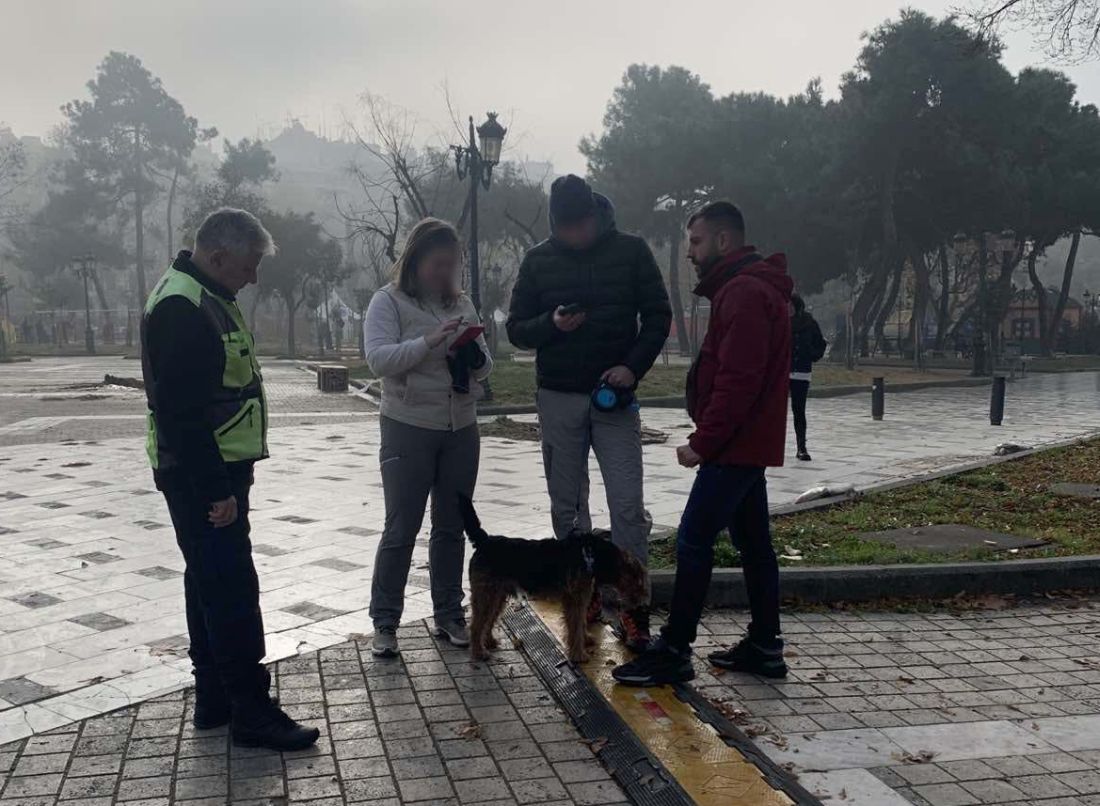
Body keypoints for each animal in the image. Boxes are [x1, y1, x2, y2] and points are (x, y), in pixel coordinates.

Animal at [459, 497, 646, 659]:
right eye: (638, 580)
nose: (641, 603)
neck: (589, 555)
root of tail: (484, 541)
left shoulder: (581, 599)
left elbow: (580, 624)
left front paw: (585, 639)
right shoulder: (574, 600)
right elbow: (575, 627)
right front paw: (579, 655)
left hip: (497, 595)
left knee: (488, 620)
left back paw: (489, 642)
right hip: (486, 594)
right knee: (476, 625)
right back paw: (479, 652)